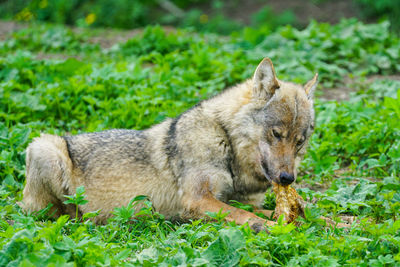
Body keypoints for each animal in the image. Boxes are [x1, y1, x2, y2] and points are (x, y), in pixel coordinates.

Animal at [21, 58, 318, 232]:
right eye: (276, 133)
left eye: (299, 142)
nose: (287, 178)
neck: (225, 140)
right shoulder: (197, 200)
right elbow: (251, 218)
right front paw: (280, 228)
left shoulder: (236, 200)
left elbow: (288, 213)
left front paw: (325, 222)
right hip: (45, 148)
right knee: (58, 214)